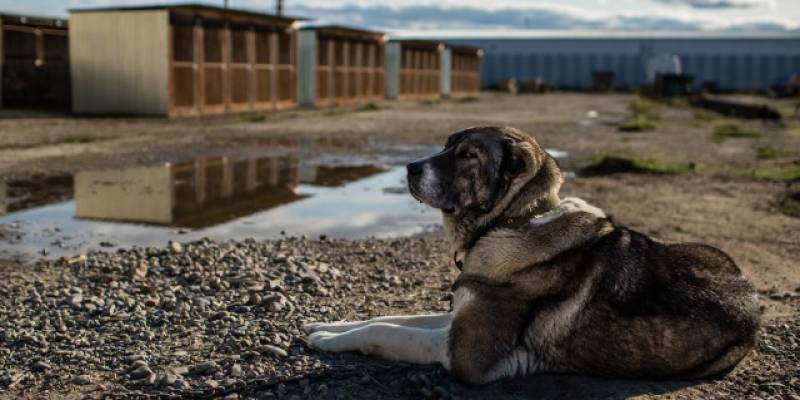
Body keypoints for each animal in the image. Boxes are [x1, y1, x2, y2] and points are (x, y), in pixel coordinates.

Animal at [304, 126, 756, 382]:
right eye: (446, 145)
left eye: (468, 155)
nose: (410, 168)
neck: (516, 220)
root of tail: (750, 292)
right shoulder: (458, 315)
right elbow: (389, 318)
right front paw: (327, 325)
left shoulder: (463, 352)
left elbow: (387, 331)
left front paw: (327, 341)